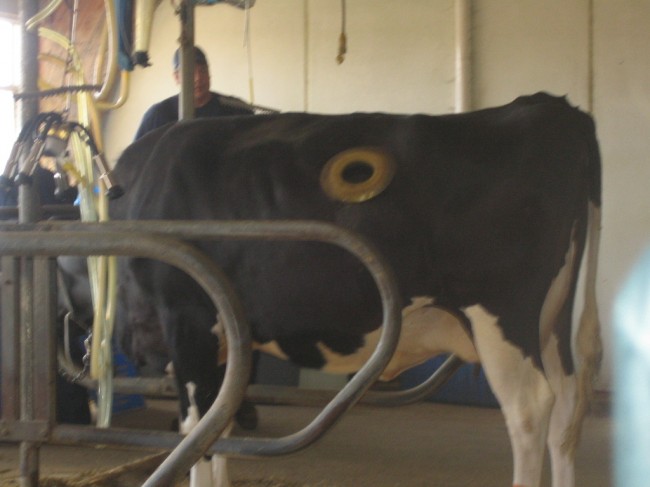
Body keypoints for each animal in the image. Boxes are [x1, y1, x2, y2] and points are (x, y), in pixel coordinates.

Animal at [105, 92, 601, 487]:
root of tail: (548, 105)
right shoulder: (225, 338)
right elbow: (219, 426)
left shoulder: (187, 319)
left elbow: (198, 432)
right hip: (552, 320)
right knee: (567, 408)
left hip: (501, 317)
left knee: (530, 410)